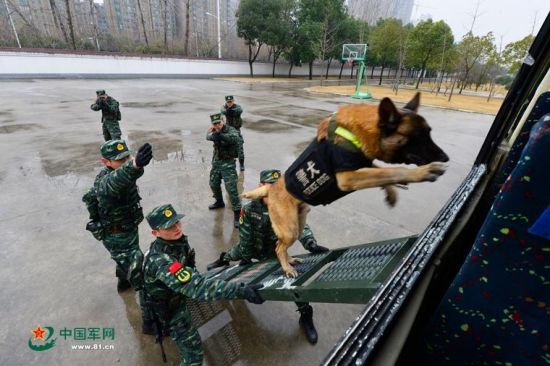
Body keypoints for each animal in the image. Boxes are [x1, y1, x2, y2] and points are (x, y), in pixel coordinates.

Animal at [244, 93, 450, 278]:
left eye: (429, 133)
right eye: (418, 137)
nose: (445, 158)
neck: (359, 131)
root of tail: (270, 189)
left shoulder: (361, 164)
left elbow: (379, 170)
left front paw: (392, 191)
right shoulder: (348, 176)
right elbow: (389, 171)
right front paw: (422, 172)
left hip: (298, 225)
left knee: (281, 246)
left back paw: (289, 261)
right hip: (290, 229)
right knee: (279, 247)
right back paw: (286, 267)